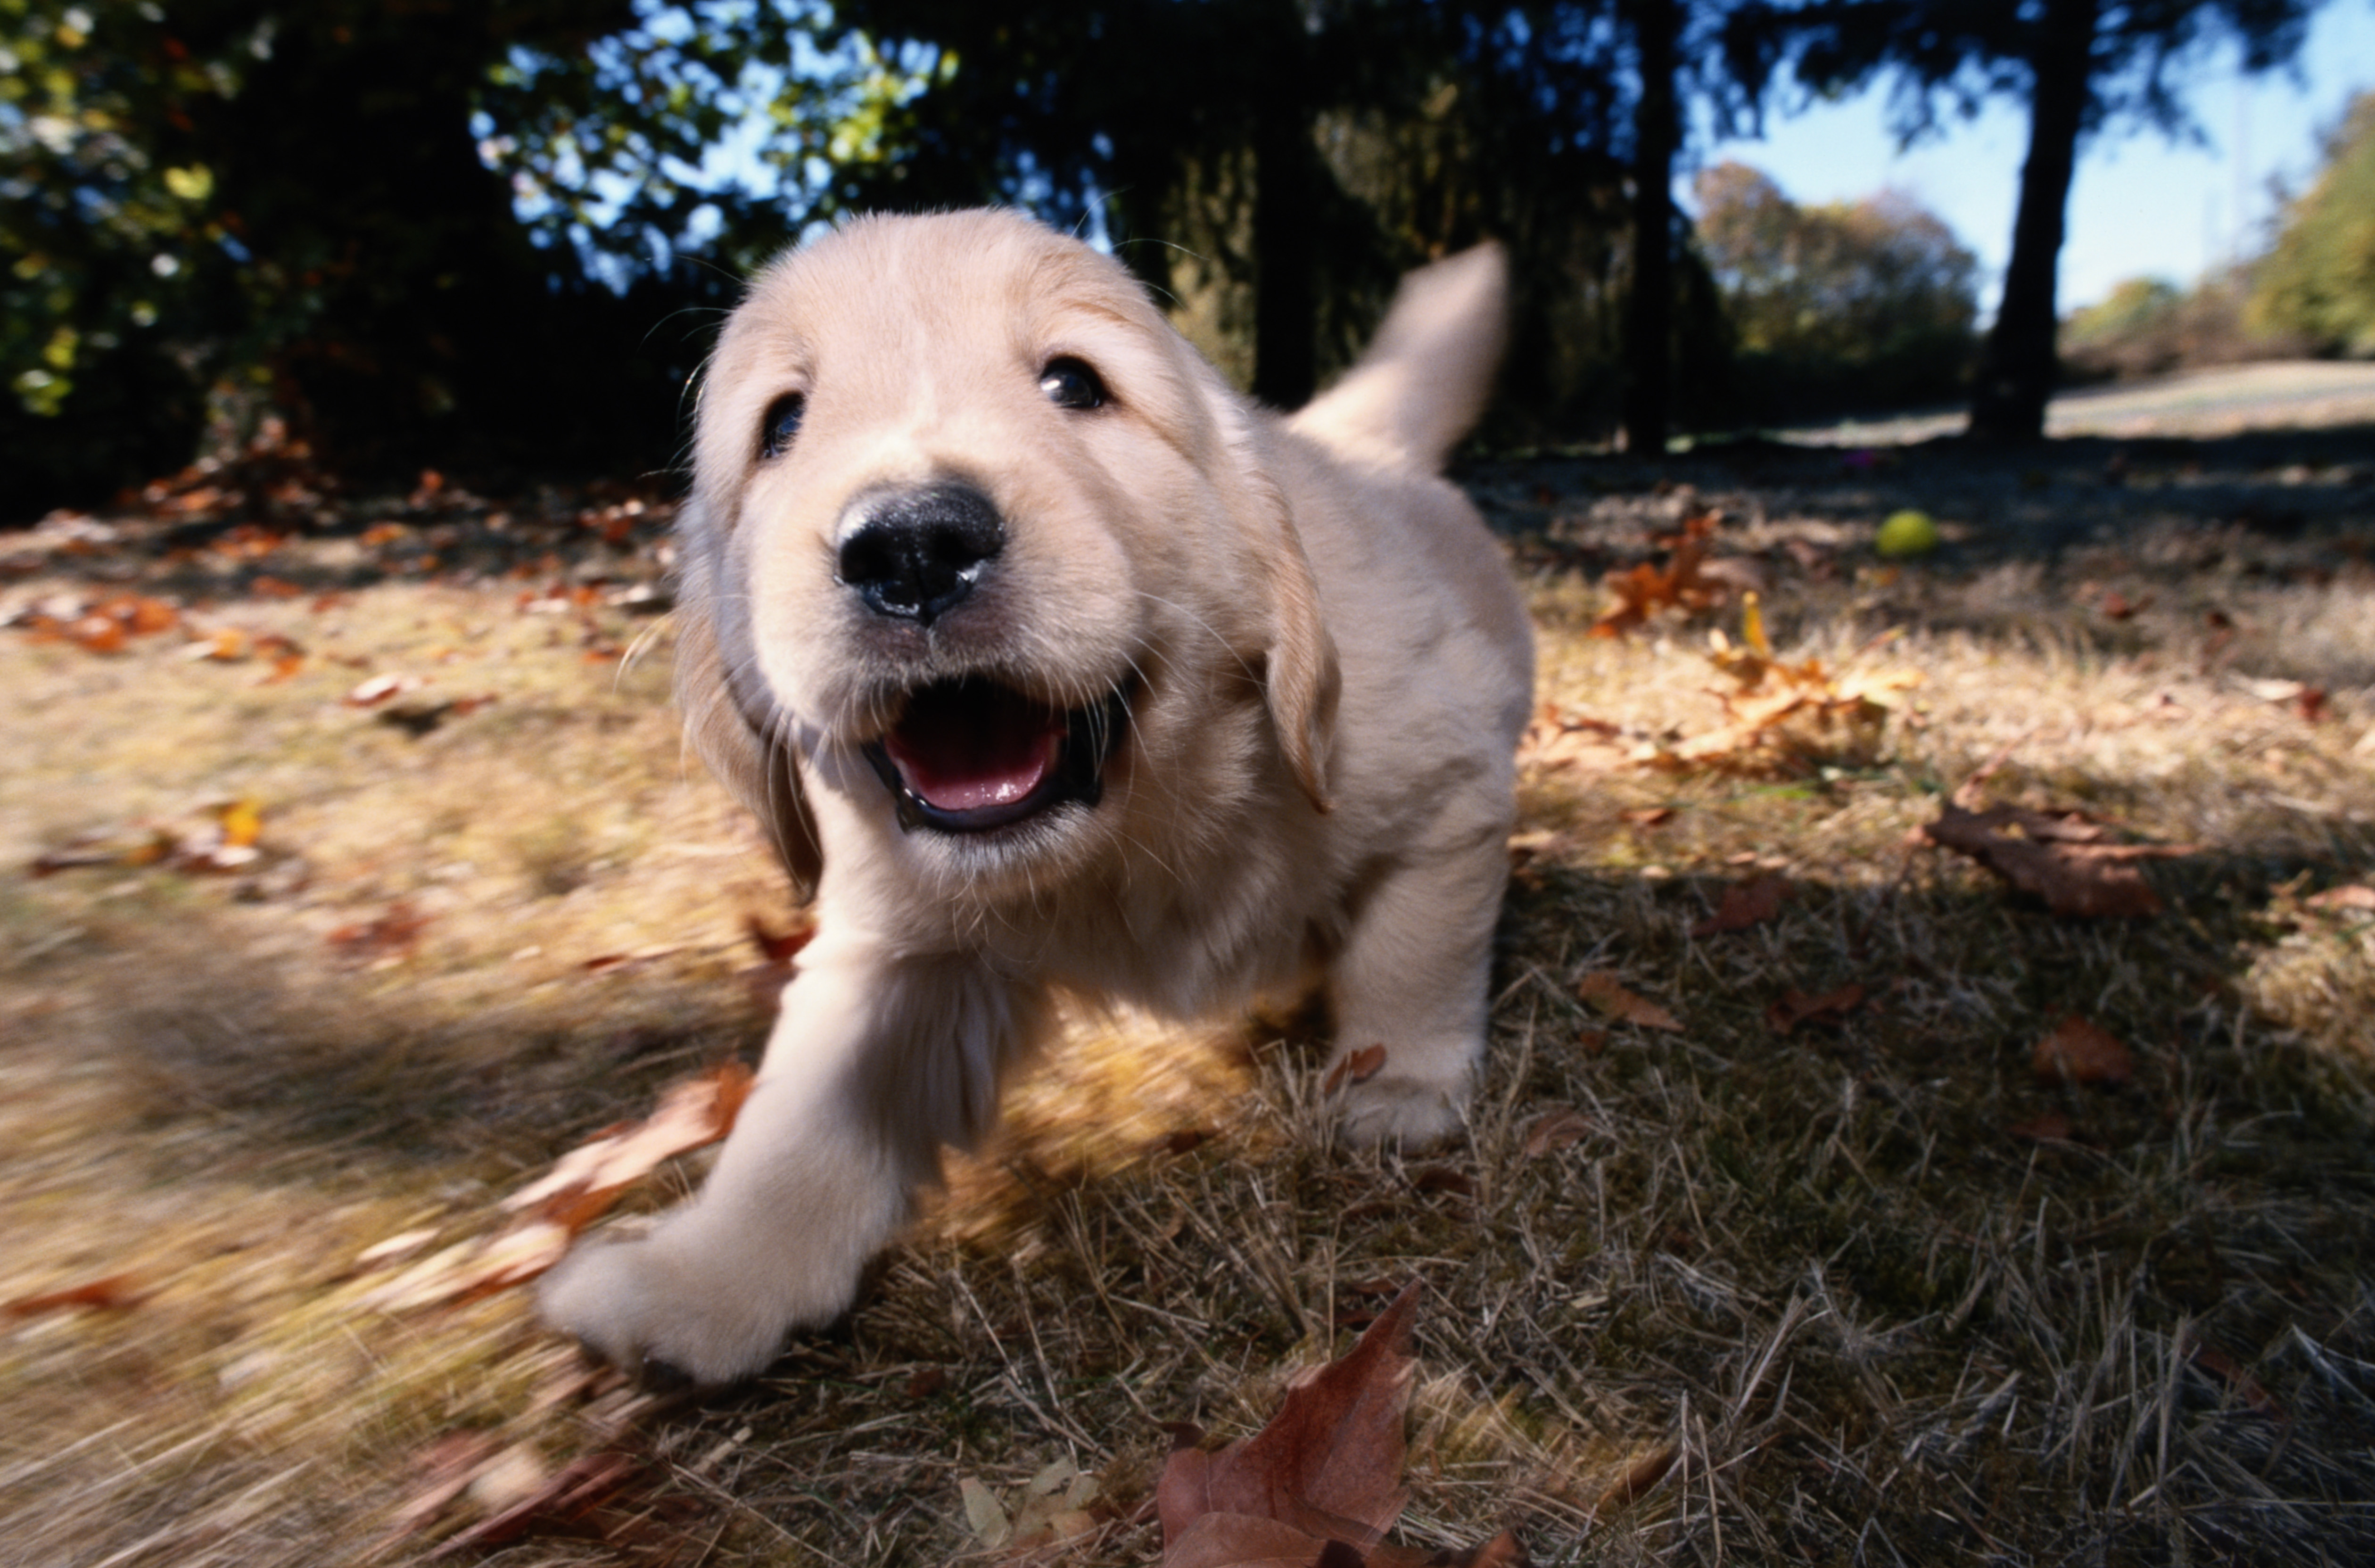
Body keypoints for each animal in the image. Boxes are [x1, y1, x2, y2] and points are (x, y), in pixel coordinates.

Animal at [539, 211, 1529, 1387]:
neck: (1130, 821)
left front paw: (1397, 1089)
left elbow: (1410, 956)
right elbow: (806, 1118)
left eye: (1073, 382)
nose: (912, 546)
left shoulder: (1444, 786)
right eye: (781, 422)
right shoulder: (902, 945)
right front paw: (706, 1278)